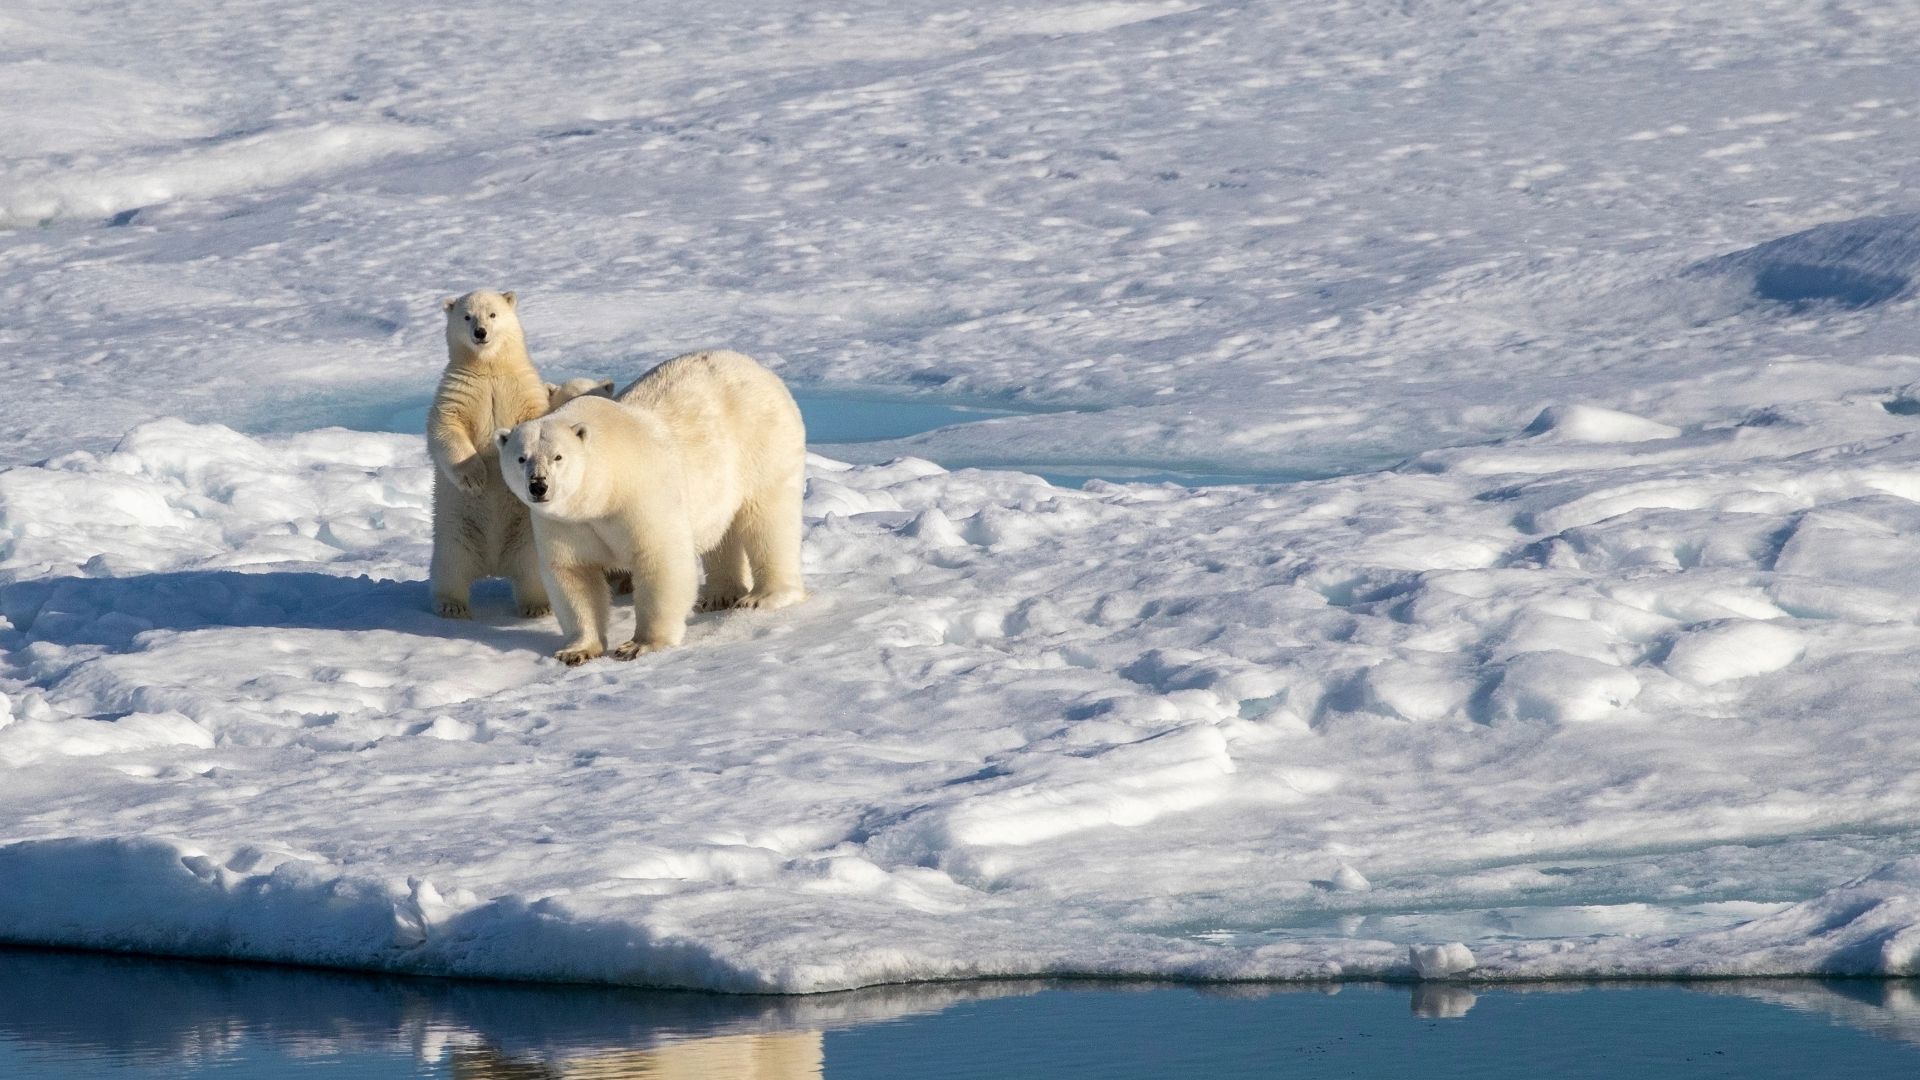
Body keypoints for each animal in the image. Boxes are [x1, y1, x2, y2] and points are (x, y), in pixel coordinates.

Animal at [426, 289, 551, 619]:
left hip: (526, 535)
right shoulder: (459, 391)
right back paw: (452, 605)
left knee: (531, 570)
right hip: (455, 531)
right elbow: (447, 427)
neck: (490, 370)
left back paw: (537, 606)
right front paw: (475, 479)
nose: (480, 332)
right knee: (451, 567)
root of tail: (494, 566)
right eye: (467, 316)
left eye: (493, 314)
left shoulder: (523, 389)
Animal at [497, 350, 807, 664]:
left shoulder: (640, 495)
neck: (606, 483)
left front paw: (638, 646)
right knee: (723, 531)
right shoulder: (566, 522)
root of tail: (757, 368)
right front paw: (576, 651)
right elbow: (573, 573)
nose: (538, 486)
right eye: (521, 458)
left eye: (558, 457)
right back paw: (719, 595)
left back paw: (762, 597)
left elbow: (661, 560)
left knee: (767, 517)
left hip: (762, 444)